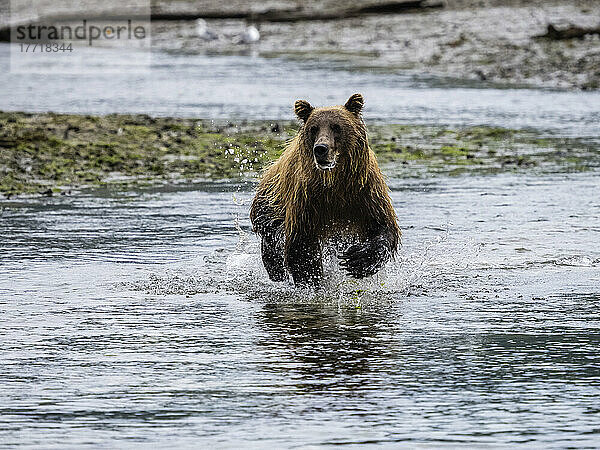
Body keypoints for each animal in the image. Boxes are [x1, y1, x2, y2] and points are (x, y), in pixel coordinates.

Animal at [251, 93, 400, 286]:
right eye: (314, 128)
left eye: (336, 126)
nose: (321, 149)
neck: (335, 181)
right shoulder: (307, 202)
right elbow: (302, 249)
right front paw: (313, 282)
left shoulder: (366, 192)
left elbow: (384, 226)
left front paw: (358, 259)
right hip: (268, 216)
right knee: (273, 255)